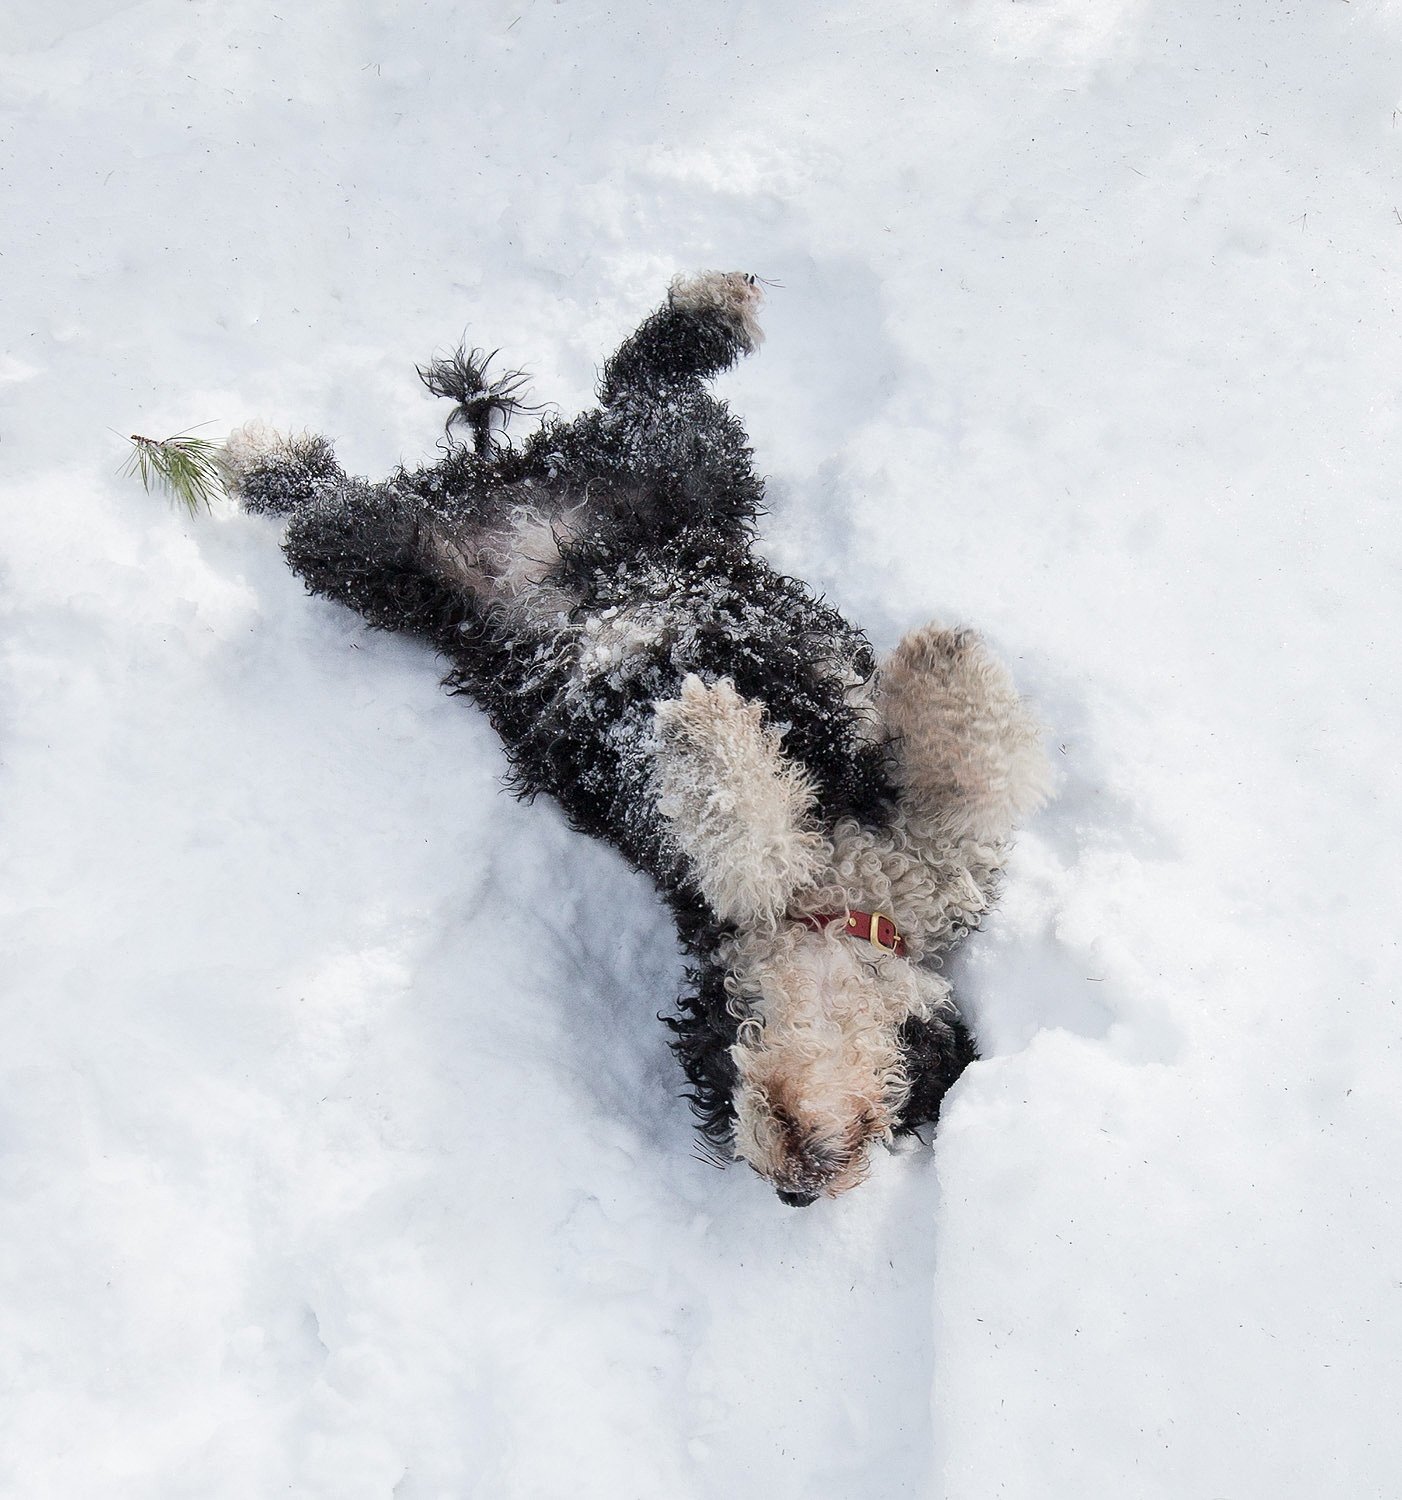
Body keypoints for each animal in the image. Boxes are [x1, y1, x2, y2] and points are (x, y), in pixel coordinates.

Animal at [224, 270, 1049, 1206]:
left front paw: (943, 663)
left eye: (908, 1114)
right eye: (716, 1067)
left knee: (633, 385)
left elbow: (969, 782)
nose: (791, 1191)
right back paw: (251, 451)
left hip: (636, 478)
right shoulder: (747, 874)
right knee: (330, 496)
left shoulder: (936, 861)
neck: (853, 897)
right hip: (466, 540)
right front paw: (708, 720)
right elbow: (754, 832)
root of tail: (511, 487)